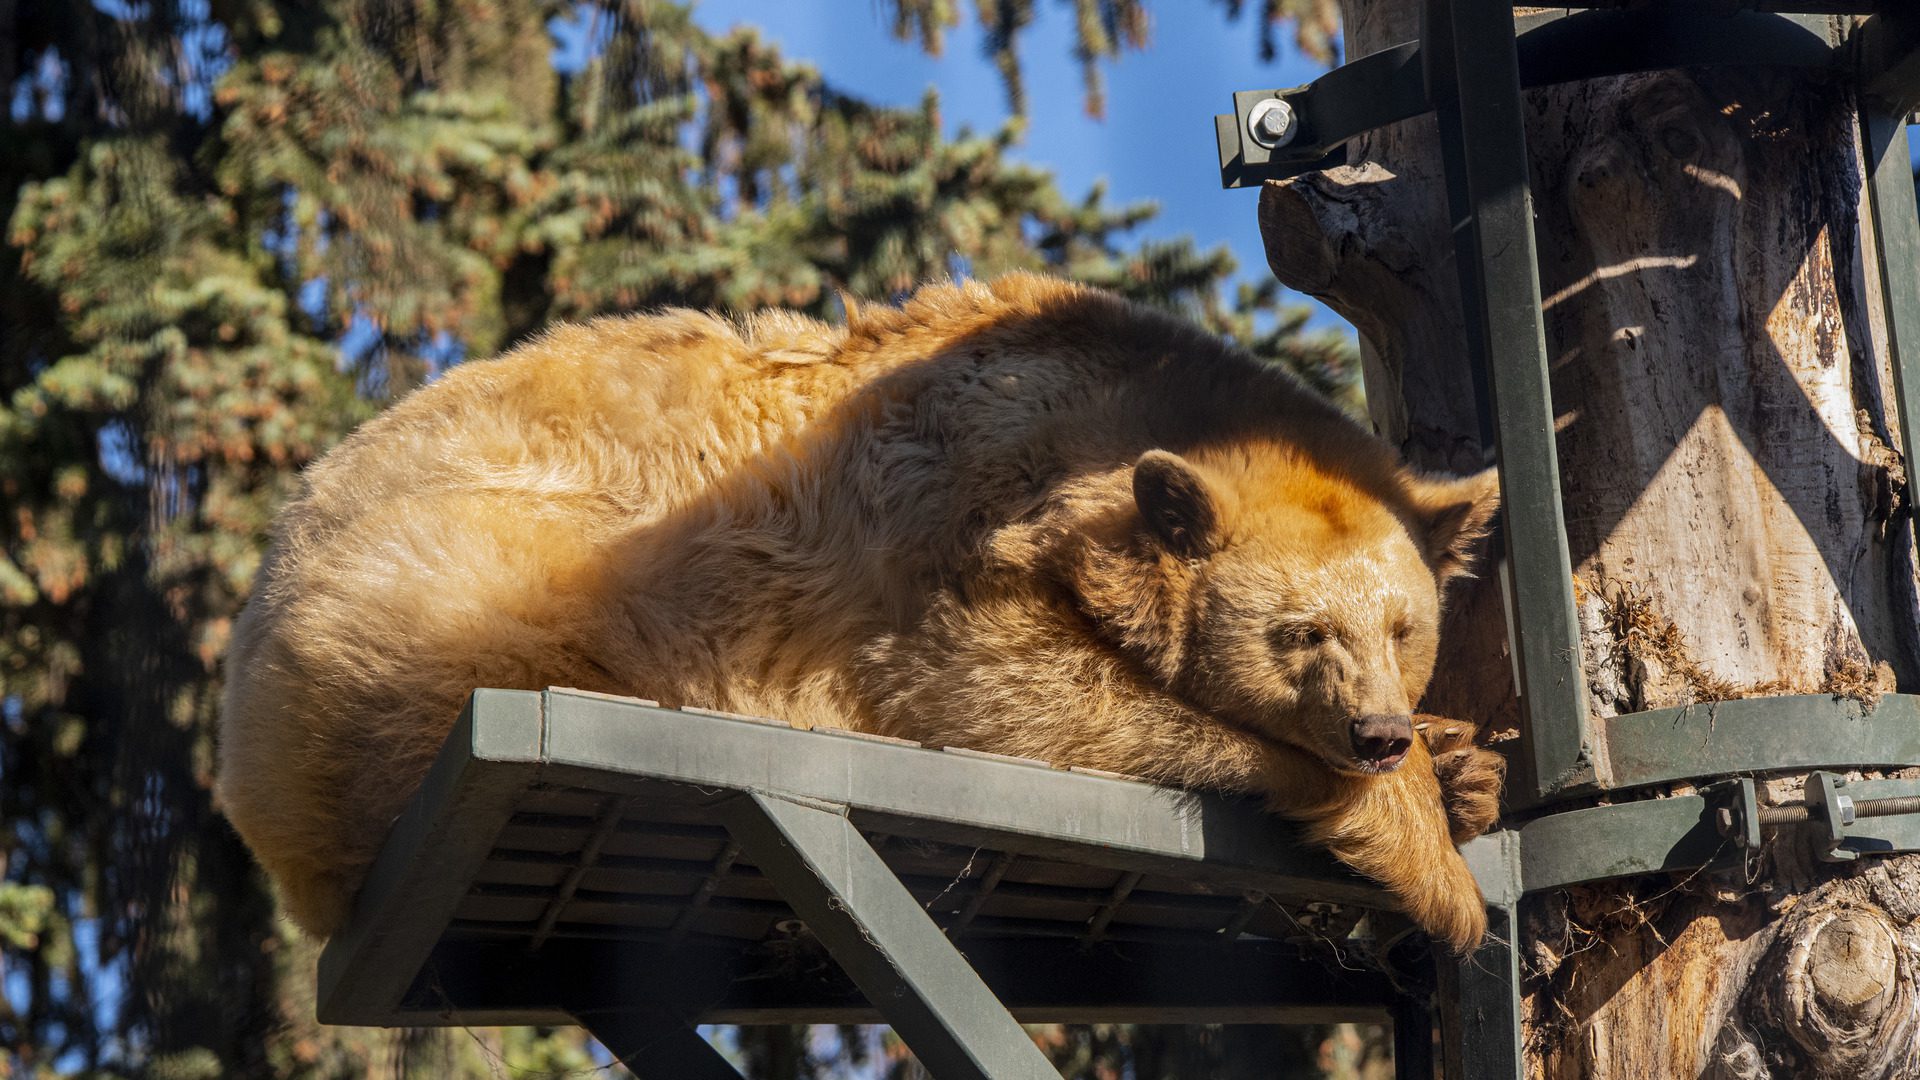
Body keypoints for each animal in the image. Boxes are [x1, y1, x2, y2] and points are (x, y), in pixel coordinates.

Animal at [217, 273, 1506, 951]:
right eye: (1303, 633)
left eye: (1402, 631)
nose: (1376, 731)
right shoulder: (934, 531)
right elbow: (1003, 692)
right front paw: (1424, 842)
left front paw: (1467, 764)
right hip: (470, 577)